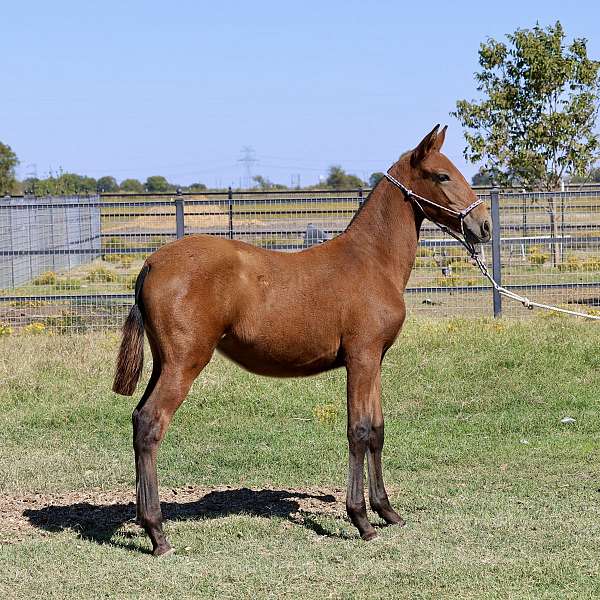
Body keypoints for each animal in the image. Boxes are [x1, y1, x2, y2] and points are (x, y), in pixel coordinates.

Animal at [112, 124, 492, 556]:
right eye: (442, 175)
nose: (483, 225)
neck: (371, 261)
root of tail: (151, 262)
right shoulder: (360, 358)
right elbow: (358, 431)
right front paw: (362, 521)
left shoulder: (375, 359)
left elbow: (377, 431)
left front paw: (387, 511)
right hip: (184, 363)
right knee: (150, 424)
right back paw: (158, 534)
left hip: (164, 363)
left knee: (138, 419)